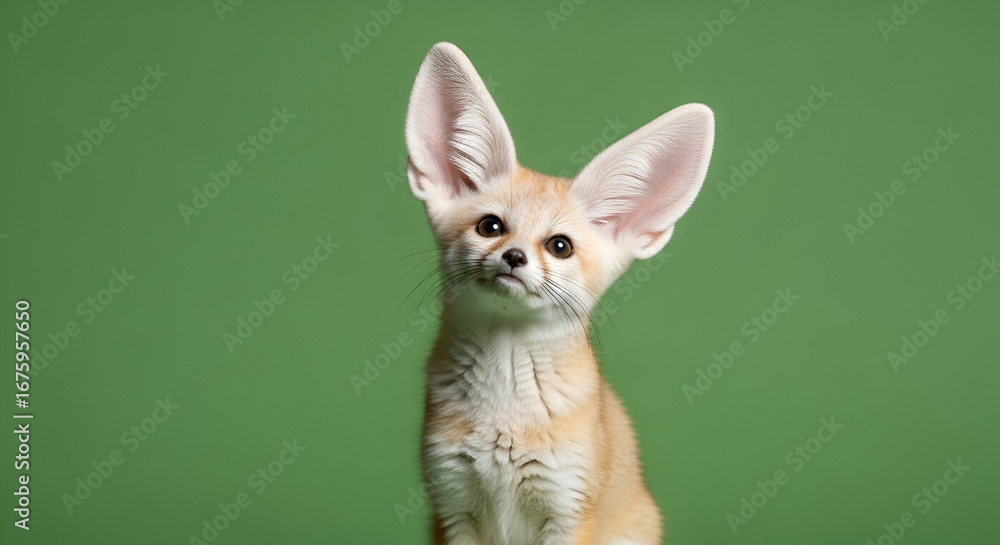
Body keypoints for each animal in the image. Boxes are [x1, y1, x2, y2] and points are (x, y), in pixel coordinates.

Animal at [404, 42, 715, 544]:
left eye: (559, 246)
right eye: (491, 227)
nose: (513, 257)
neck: (505, 416)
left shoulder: (567, 507)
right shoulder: (452, 505)